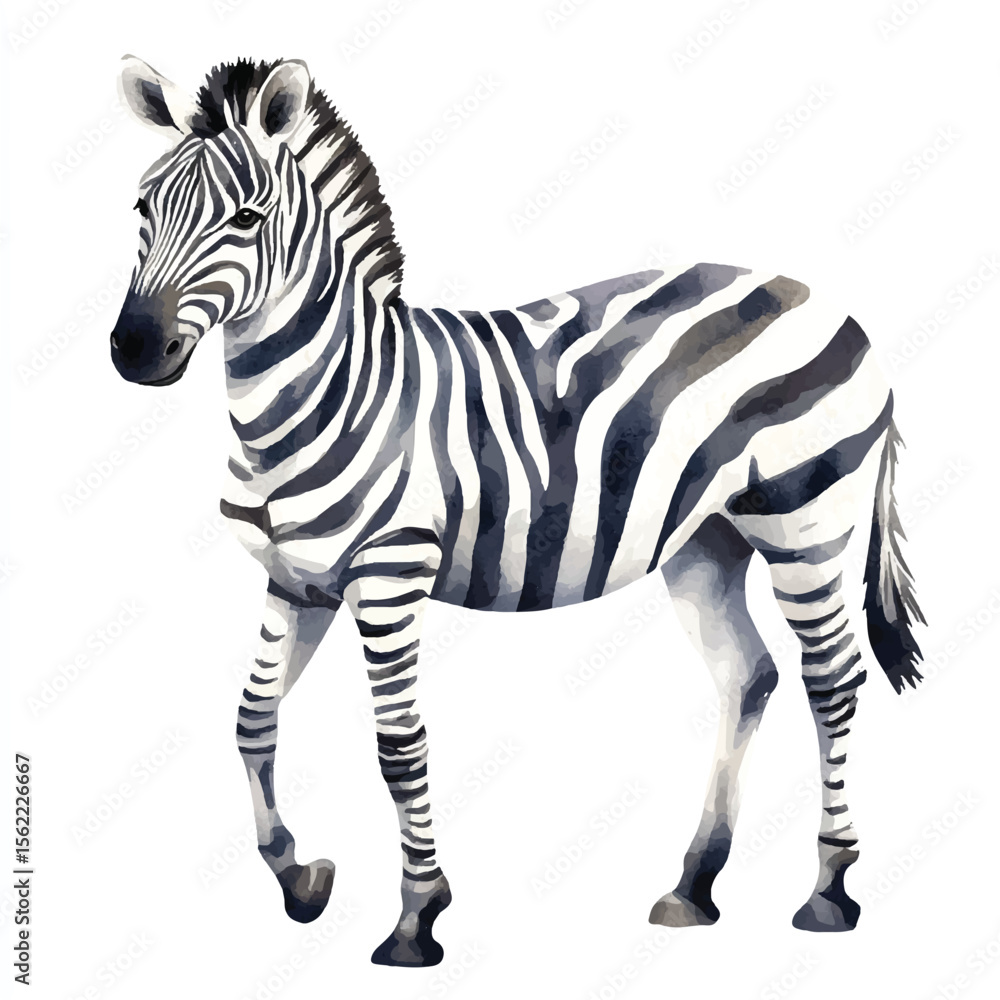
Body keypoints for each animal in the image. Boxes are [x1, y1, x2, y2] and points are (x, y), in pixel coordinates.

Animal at [110, 56, 925, 966]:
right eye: (143, 206)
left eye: (247, 219)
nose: (134, 349)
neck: (324, 392)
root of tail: (819, 297)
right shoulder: (296, 583)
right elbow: (253, 723)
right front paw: (299, 878)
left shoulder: (390, 575)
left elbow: (400, 746)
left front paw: (417, 915)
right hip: (707, 540)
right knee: (747, 675)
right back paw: (694, 884)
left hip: (803, 525)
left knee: (834, 680)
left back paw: (829, 890)